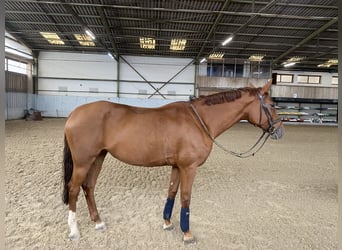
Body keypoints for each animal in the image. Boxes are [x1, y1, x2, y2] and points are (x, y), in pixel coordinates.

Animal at [62, 79, 284, 242]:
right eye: (272, 104)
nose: (280, 131)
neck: (199, 120)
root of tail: (74, 113)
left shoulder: (178, 166)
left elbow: (172, 192)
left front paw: (167, 223)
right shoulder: (189, 168)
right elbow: (186, 197)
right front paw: (187, 234)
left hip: (98, 158)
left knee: (88, 187)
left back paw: (98, 222)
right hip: (83, 162)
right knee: (73, 188)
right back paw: (74, 231)